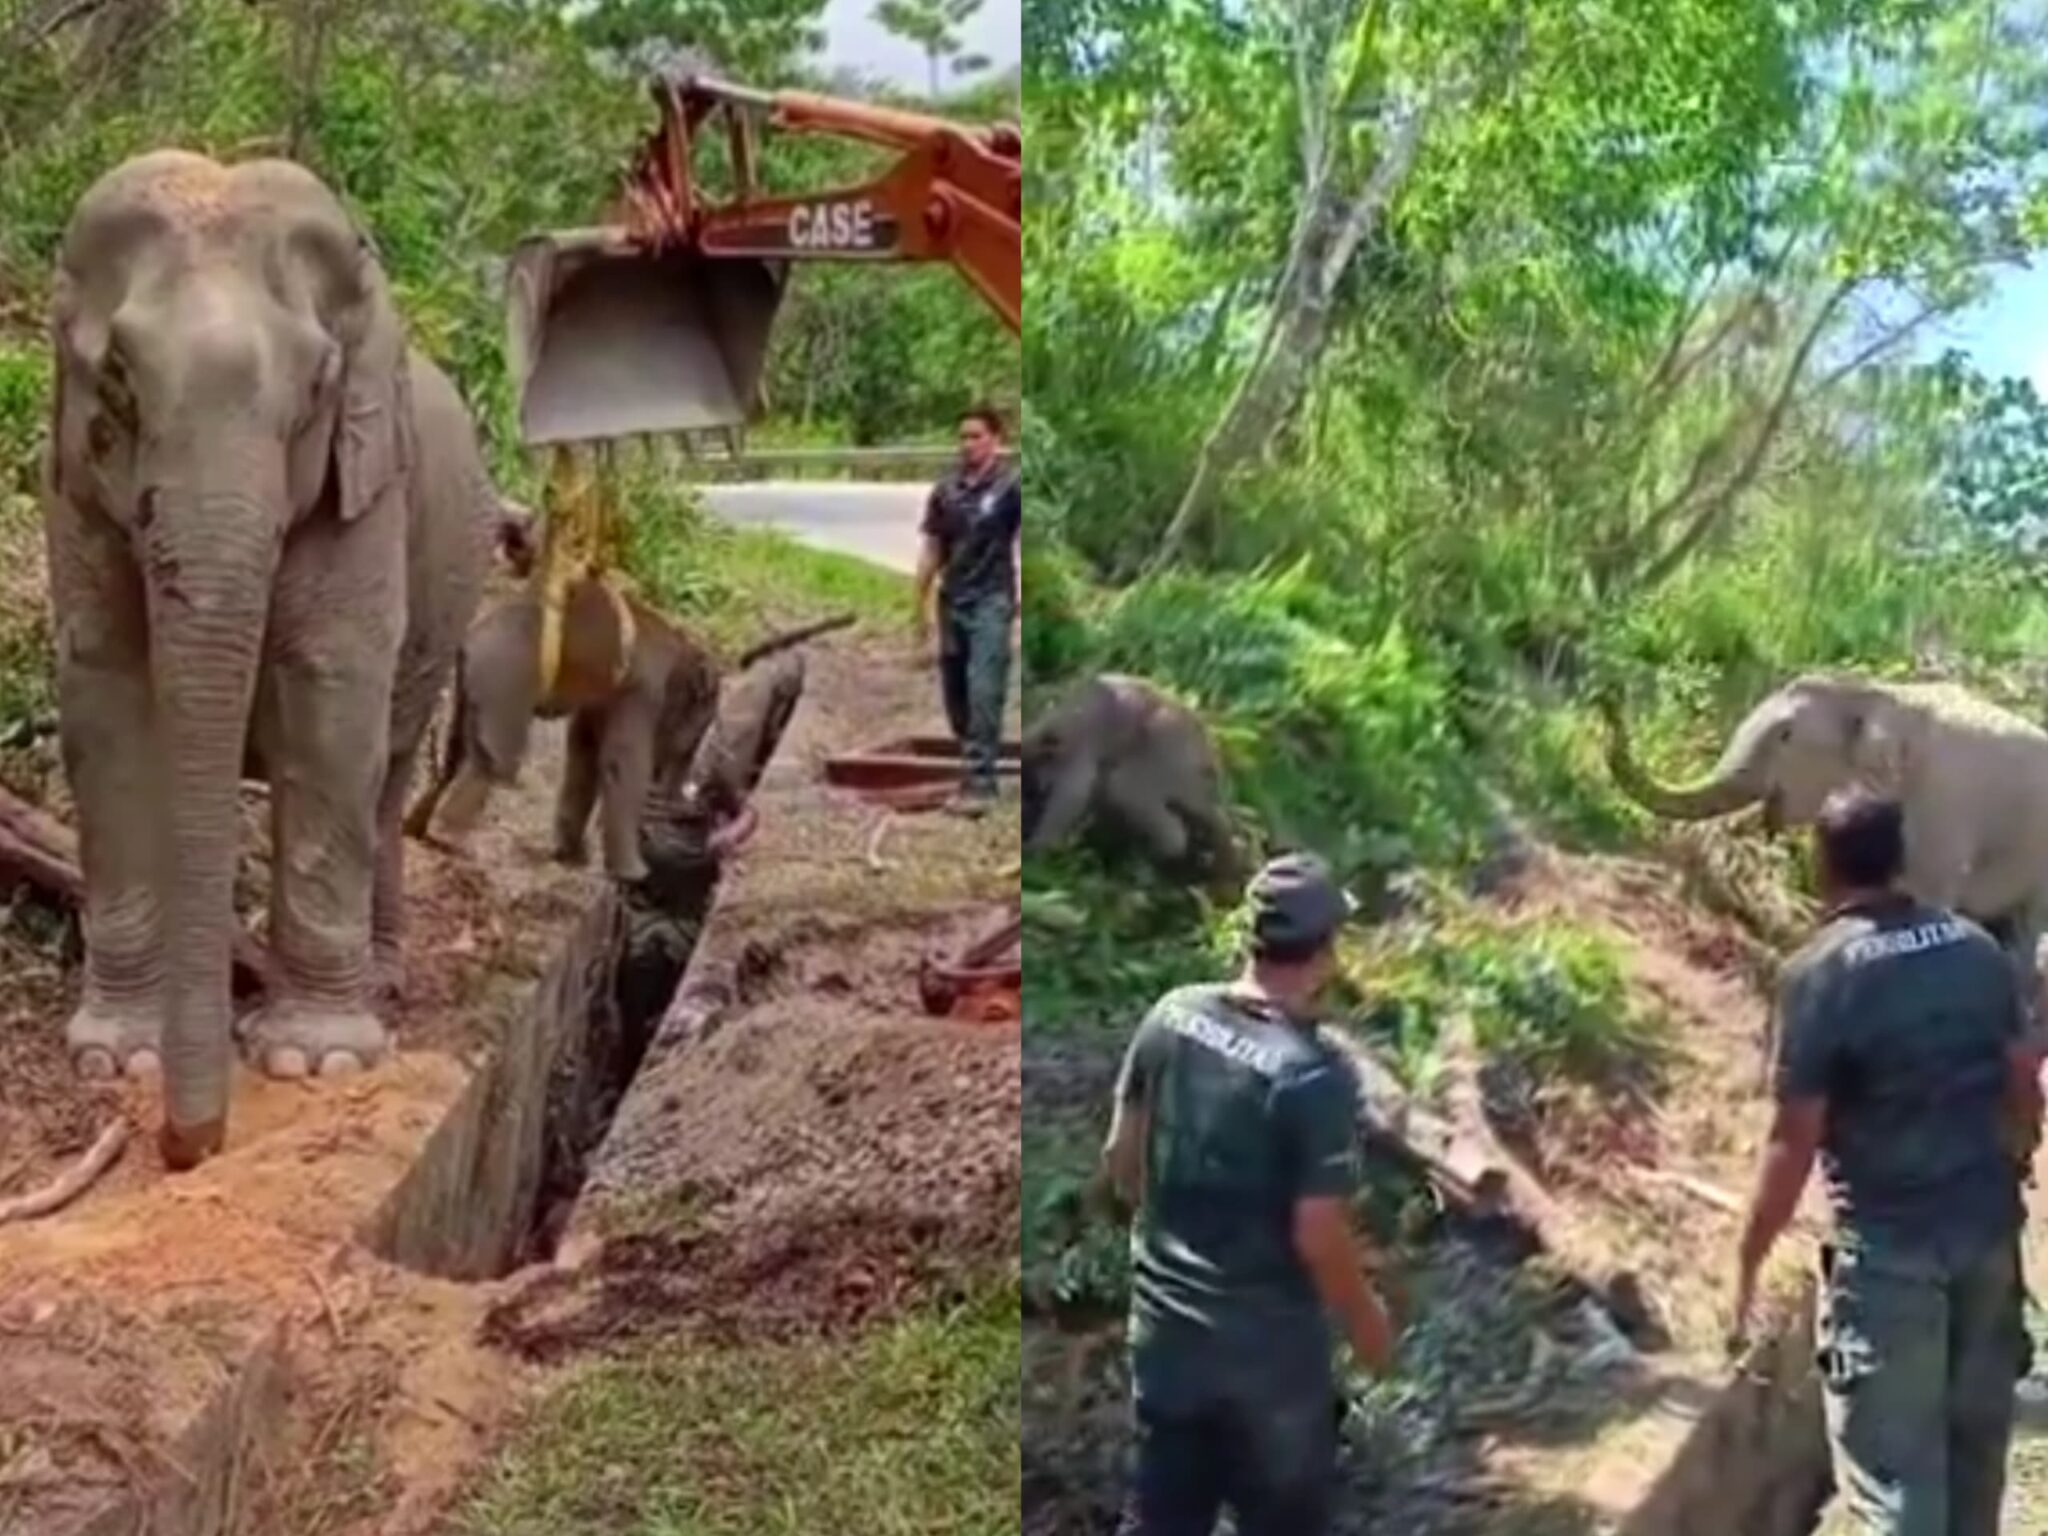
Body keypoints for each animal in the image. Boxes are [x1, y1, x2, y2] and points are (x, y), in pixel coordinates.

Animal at [45, 150, 495, 1171]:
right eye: (118, 378)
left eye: (319, 385)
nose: (187, 1146)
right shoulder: (72, 484)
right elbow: (106, 698)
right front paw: (116, 1058)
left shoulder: (364, 487)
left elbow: (330, 700)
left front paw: (313, 1061)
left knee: (383, 775)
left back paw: (379, 982)